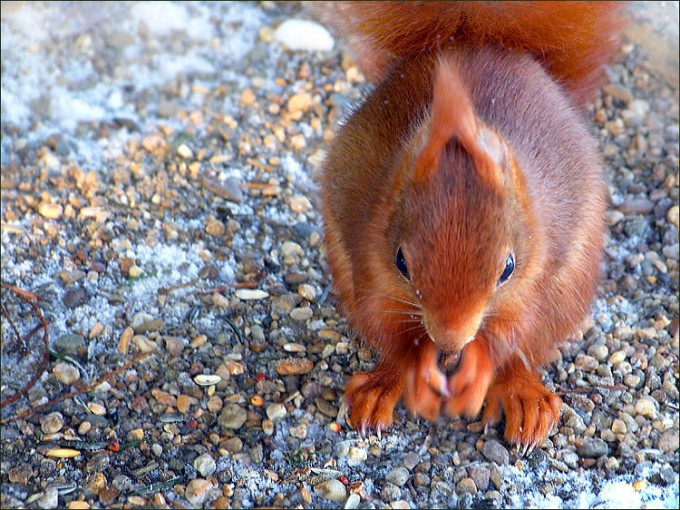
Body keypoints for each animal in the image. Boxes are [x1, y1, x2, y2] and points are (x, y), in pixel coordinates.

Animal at [315, 1, 628, 449]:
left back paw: (523, 397)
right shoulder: (371, 265)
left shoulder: (532, 281)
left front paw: (476, 368)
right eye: (401, 262)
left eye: (508, 268)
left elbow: (508, 335)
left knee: (526, 351)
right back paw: (379, 388)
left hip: (568, 289)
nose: (449, 344)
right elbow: (392, 331)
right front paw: (417, 367)